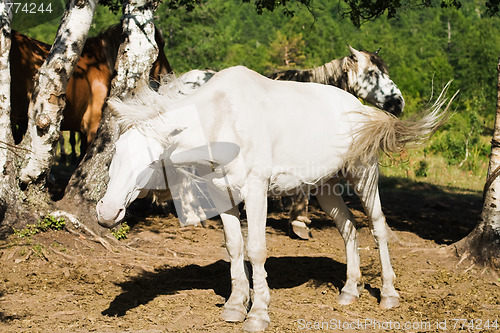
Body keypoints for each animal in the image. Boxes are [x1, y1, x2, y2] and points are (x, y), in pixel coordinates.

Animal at [95, 66, 452, 330]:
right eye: (114, 155)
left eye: (152, 162)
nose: (107, 212)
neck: (223, 120)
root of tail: (362, 109)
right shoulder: (223, 195)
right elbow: (235, 247)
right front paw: (235, 305)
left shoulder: (256, 191)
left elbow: (255, 249)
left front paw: (257, 313)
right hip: (326, 189)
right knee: (349, 228)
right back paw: (350, 290)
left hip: (364, 177)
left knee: (378, 228)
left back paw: (389, 294)